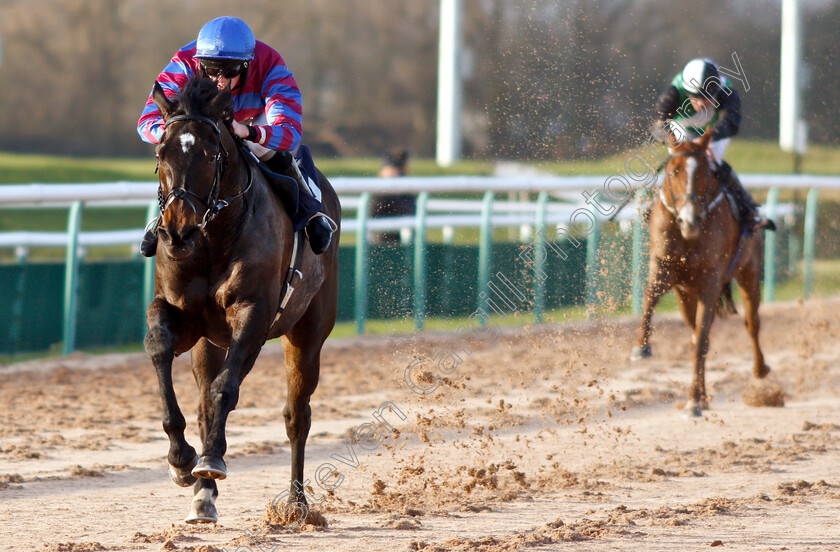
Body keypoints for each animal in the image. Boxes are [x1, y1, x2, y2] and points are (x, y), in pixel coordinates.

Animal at [148, 76, 342, 520]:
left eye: (210, 154)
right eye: (161, 152)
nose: (177, 232)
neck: (212, 240)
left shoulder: (253, 314)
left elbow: (226, 388)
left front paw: (211, 459)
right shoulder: (181, 313)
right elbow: (160, 348)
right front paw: (181, 459)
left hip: (308, 331)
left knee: (296, 415)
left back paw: (297, 504)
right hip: (209, 342)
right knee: (206, 400)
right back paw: (203, 497)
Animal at [632, 132, 768, 416]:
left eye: (705, 173)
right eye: (673, 171)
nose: (690, 219)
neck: (688, 237)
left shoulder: (710, 282)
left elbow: (701, 342)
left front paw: (693, 400)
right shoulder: (663, 269)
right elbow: (649, 297)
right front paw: (641, 347)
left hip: (749, 273)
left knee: (751, 323)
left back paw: (760, 371)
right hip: (686, 296)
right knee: (696, 330)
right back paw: (704, 395)